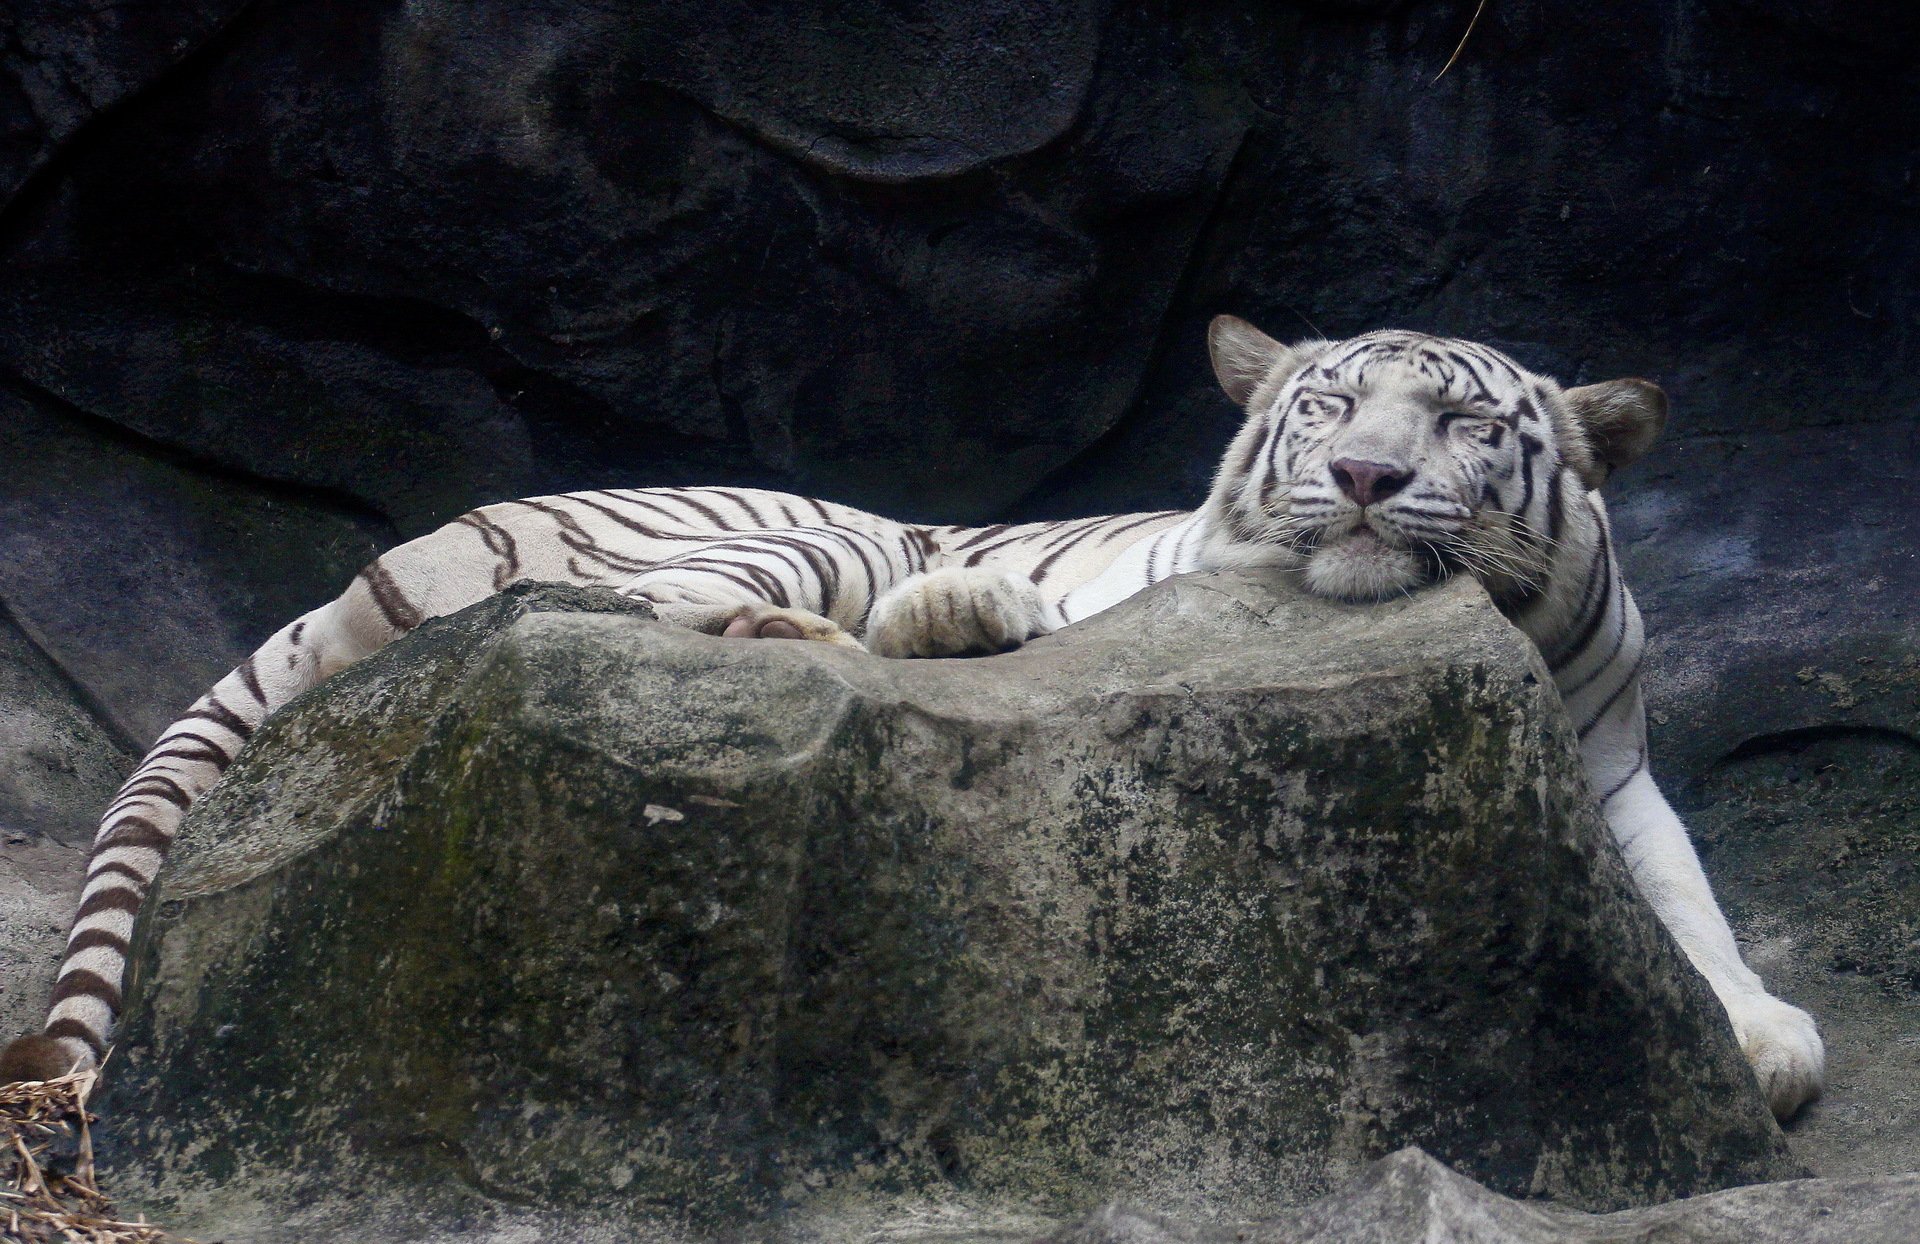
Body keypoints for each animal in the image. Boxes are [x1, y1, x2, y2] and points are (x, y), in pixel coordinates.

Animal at [0, 317, 1824, 1121]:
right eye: (1327, 410)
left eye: (1454, 420)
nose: (1368, 479)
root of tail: (392, 549)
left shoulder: (1608, 755)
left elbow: (1685, 896)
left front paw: (1760, 1033)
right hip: (774, 529)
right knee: (631, 614)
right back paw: (936, 614)